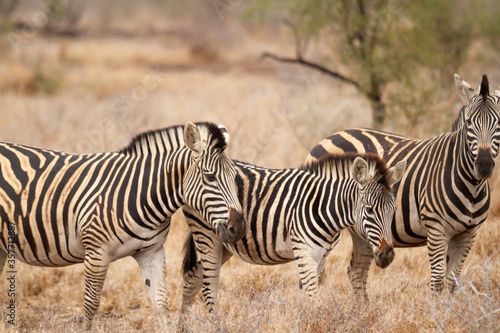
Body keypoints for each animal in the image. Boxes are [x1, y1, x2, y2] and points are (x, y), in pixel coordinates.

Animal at [0, 121, 244, 326]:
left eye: (234, 176)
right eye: (210, 177)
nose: (239, 227)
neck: (139, 194)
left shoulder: (151, 252)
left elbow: (161, 306)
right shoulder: (96, 254)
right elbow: (90, 307)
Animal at [180, 153, 406, 312]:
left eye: (393, 209)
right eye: (369, 210)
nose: (387, 255)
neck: (323, 205)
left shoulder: (322, 255)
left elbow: (307, 293)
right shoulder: (305, 251)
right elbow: (314, 297)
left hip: (225, 243)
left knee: (193, 279)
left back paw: (184, 326)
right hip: (207, 236)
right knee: (208, 287)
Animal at [304, 74, 500, 296]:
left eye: (499, 122)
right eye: (469, 122)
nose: (484, 165)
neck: (471, 186)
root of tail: (326, 138)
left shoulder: (468, 234)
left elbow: (452, 282)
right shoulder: (436, 230)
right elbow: (437, 281)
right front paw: (438, 307)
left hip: (361, 229)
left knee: (356, 271)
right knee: (317, 271)